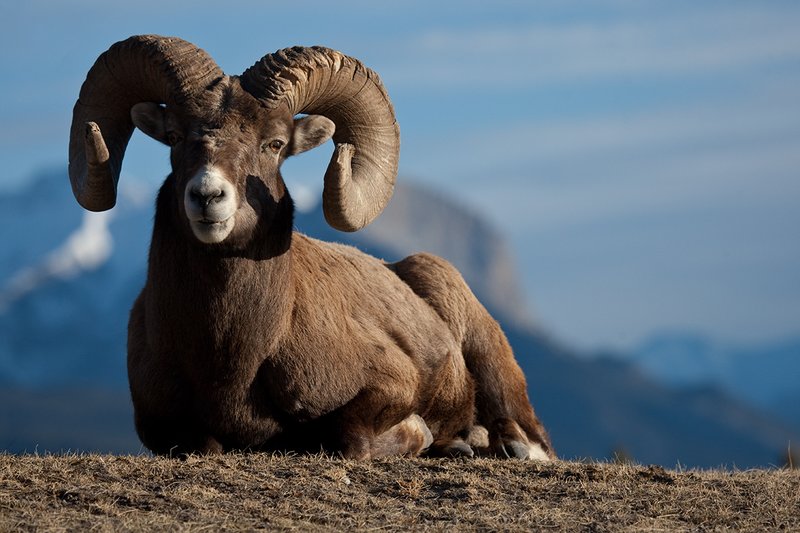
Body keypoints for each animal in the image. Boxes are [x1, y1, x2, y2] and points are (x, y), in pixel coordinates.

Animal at [68, 35, 555, 460]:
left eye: (275, 144)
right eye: (173, 138)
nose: (207, 196)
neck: (231, 359)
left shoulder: (392, 383)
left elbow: (349, 438)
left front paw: (422, 436)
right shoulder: (163, 427)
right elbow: (203, 444)